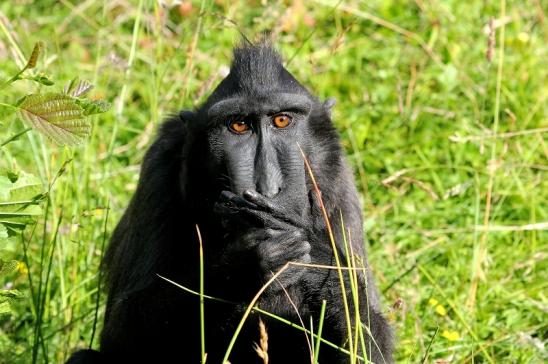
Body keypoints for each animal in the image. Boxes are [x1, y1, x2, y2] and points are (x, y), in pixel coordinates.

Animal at [68, 43, 392, 364]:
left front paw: (318, 258)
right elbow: (120, 330)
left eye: (282, 120)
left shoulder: (340, 187)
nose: (267, 186)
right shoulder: (158, 167)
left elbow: (372, 347)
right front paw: (247, 261)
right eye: (238, 126)